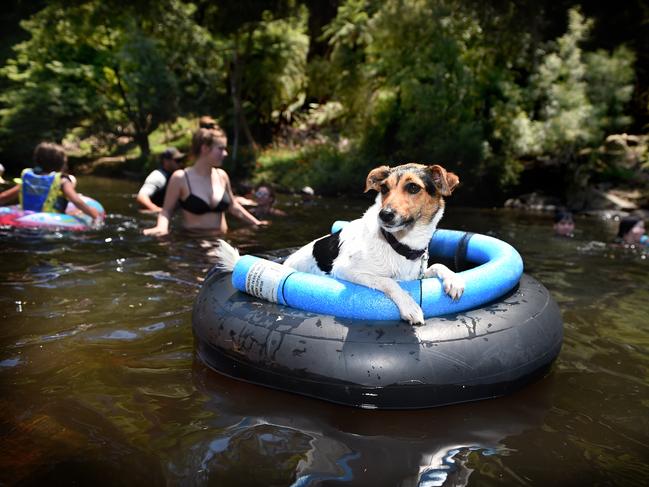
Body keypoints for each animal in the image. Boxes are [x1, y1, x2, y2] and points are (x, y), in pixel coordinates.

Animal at [215, 162, 464, 326]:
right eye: (384, 189)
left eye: (413, 188)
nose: (384, 215)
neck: (399, 244)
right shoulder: (347, 269)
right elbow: (389, 282)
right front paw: (410, 306)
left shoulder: (416, 274)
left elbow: (439, 266)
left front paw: (453, 280)